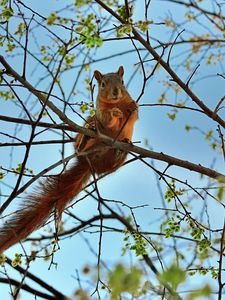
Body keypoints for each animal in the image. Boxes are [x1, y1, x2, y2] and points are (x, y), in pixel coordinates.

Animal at [0, 65, 139, 253]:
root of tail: (88, 162)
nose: (116, 92)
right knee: (85, 137)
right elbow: (106, 119)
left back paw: (120, 150)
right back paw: (85, 141)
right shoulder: (100, 113)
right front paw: (114, 113)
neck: (115, 103)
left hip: (115, 161)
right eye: (103, 84)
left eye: (122, 82)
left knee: (113, 161)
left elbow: (133, 115)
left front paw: (131, 106)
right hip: (87, 125)